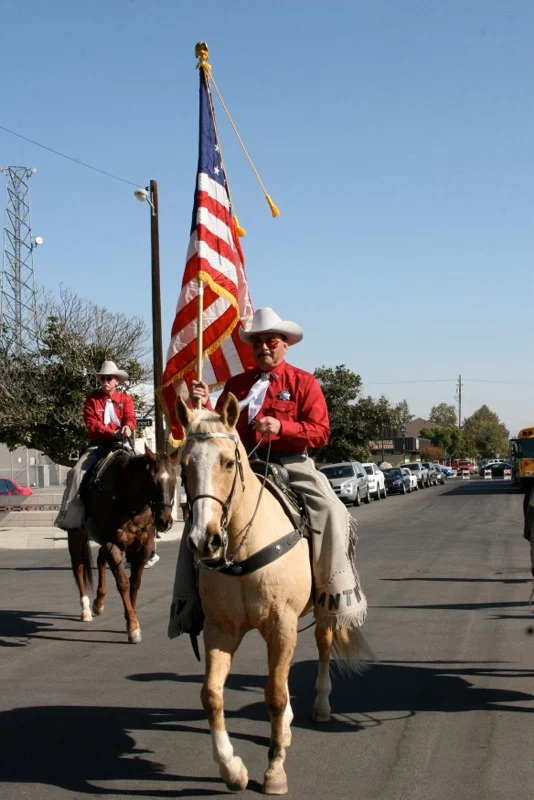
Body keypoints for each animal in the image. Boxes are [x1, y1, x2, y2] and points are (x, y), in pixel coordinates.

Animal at [68, 445, 178, 643]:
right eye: (152, 479)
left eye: (173, 479)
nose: (165, 521)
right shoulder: (113, 544)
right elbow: (123, 583)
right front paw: (132, 626)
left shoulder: (143, 547)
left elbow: (135, 582)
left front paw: (133, 617)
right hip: (76, 536)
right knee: (78, 569)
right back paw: (86, 609)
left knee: (100, 558)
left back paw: (98, 603)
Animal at [176, 393, 369, 795]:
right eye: (183, 466)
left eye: (228, 461)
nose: (204, 540)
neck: (244, 545)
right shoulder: (221, 629)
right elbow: (211, 695)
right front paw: (232, 769)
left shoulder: (280, 624)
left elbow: (275, 696)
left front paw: (275, 770)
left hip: (325, 607)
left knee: (323, 647)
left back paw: (321, 707)